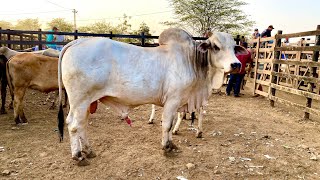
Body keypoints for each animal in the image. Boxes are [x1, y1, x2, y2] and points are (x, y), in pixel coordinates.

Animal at [57, 28, 245, 166]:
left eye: (234, 47)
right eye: (216, 46)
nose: (236, 64)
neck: (191, 59)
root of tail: (77, 41)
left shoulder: (177, 103)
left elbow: (171, 125)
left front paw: (172, 144)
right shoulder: (173, 100)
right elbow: (167, 125)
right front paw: (166, 148)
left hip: (87, 103)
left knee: (81, 125)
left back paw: (89, 151)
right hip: (80, 101)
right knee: (73, 125)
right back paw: (78, 156)